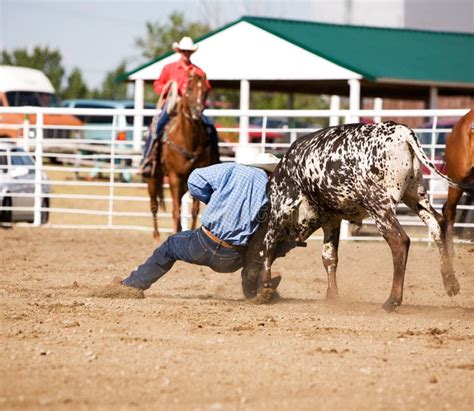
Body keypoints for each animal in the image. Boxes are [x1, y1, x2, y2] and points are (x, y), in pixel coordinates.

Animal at [145, 73, 214, 243]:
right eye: (189, 89)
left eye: (205, 91)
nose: (197, 111)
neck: (189, 140)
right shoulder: (174, 177)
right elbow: (175, 210)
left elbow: (194, 210)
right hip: (153, 178)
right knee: (154, 205)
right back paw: (156, 235)